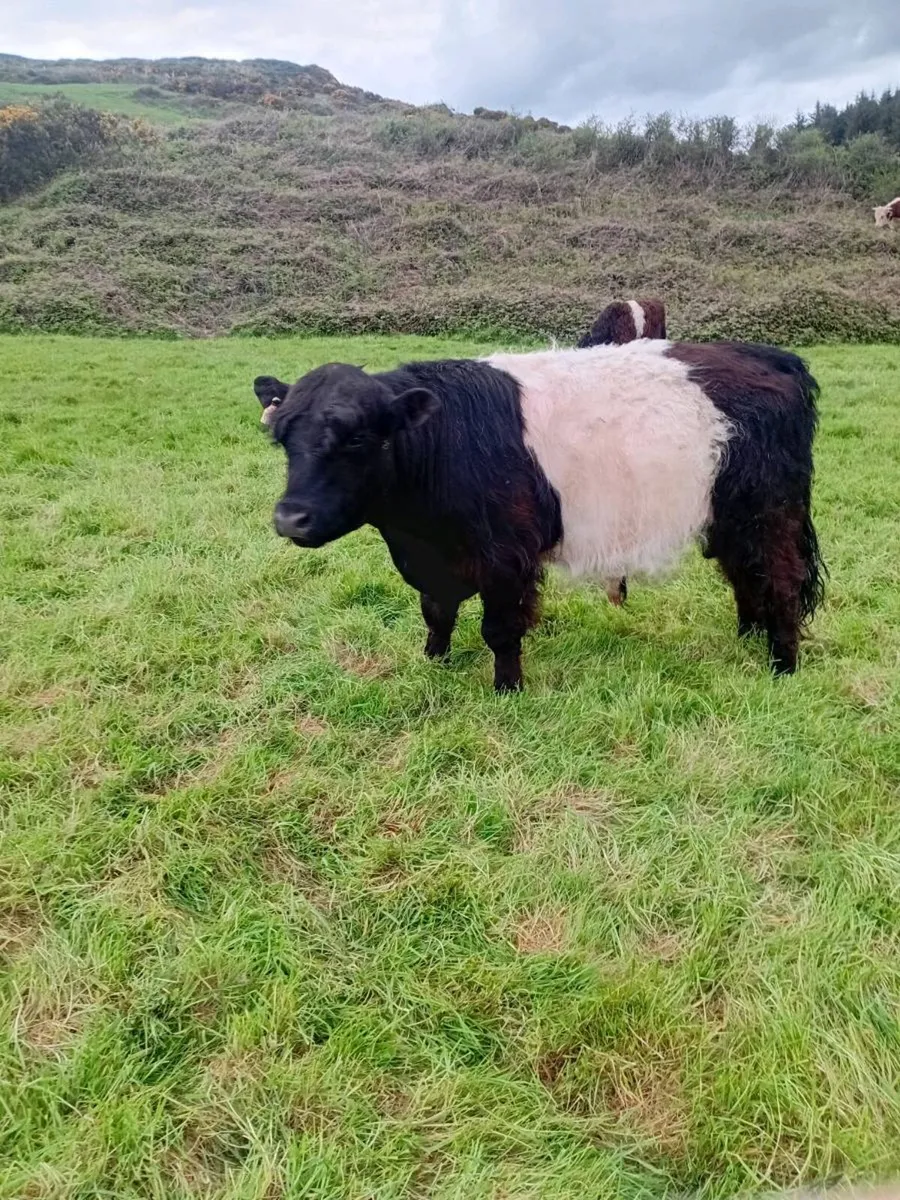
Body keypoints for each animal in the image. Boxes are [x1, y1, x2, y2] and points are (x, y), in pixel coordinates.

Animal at [255, 339, 825, 692]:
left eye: (356, 438)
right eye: (281, 436)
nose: (290, 518)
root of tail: (770, 356)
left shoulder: (506, 556)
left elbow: (500, 629)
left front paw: (507, 690)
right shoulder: (434, 560)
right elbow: (436, 613)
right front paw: (434, 661)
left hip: (768, 513)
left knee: (781, 580)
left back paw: (782, 665)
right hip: (731, 521)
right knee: (745, 576)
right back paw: (748, 637)